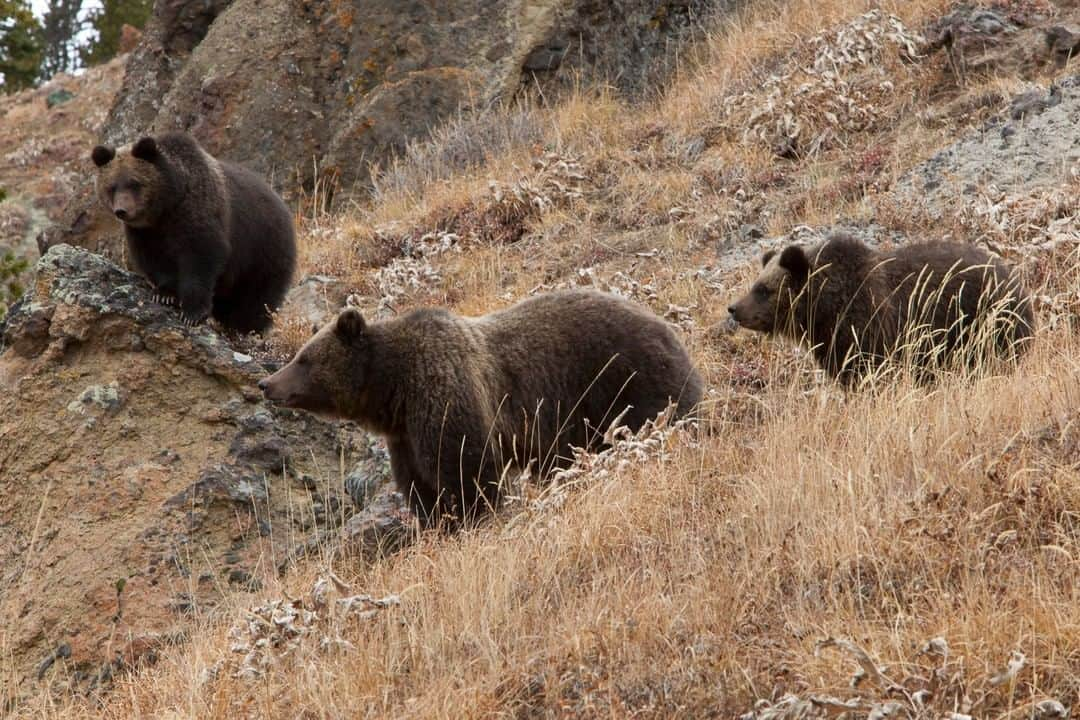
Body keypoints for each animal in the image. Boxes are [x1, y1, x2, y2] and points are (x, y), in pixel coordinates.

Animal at [90, 133, 295, 334]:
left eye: (134, 183)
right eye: (111, 187)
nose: (121, 211)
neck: (166, 206)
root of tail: (281, 202)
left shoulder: (197, 213)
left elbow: (202, 257)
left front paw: (192, 313)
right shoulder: (145, 233)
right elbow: (155, 260)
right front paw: (165, 294)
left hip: (263, 248)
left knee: (256, 298)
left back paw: (244, 328)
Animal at [258, 289, 704, 526]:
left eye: (304, 359)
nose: (267, 383)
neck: (394, 390)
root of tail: (668, 327)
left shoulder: (448, 397)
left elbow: (467, 472)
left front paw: (476, 518)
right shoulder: (405, 438)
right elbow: (421, 488)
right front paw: (437, 524)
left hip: (627, 382)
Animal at [730, 234, 1032, 386]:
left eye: (763, 289)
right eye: (756, 284)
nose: (734, 308)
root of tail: (1013, 277)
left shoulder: (869, 330)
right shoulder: (834, 345)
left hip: (984, 321)